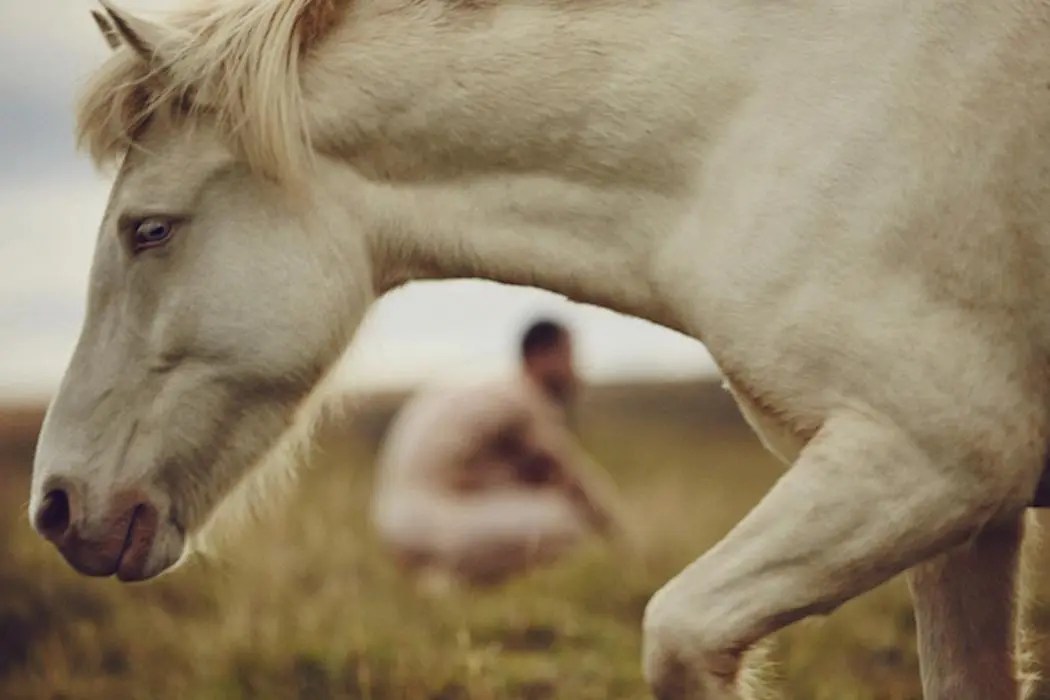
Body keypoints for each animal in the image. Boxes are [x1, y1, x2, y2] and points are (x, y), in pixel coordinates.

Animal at [30, 1, 1050, 697]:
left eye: (149, 230)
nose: (55, 505)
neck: (762, 120)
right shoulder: (965, 522)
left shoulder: (936, 462)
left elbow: (679, 631)